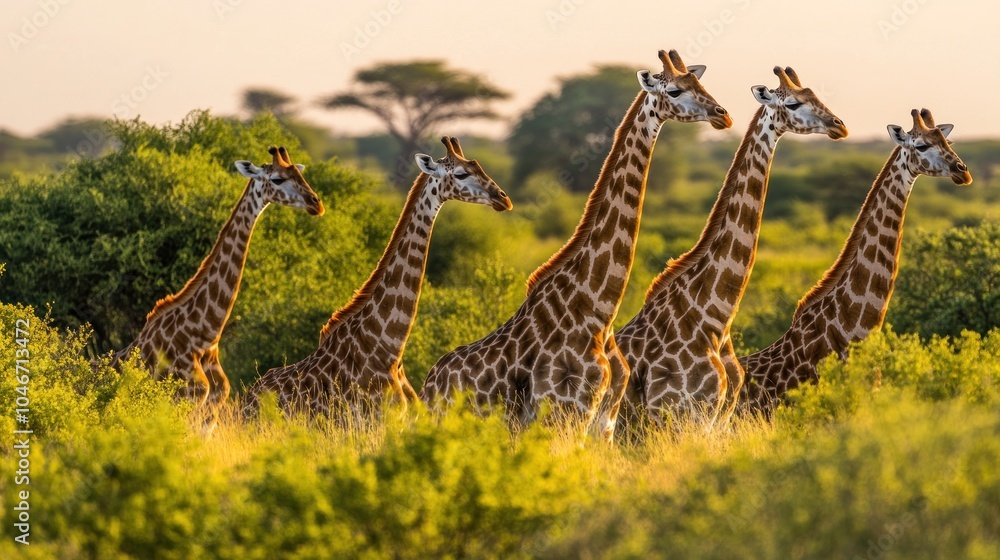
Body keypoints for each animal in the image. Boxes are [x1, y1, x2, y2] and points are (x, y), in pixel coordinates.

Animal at [112, 146, 324, 432]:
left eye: (299, 175)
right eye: (278, 179)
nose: (316, 203)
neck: (203, 337)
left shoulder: (209, 414)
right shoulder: (184, 401)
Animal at [420, 50, 732, 441]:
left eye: (698, 83)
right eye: (675, 90)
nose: (723, 115)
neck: (594, 308)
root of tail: (427, 385)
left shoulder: (599, 415)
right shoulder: (566, 409)